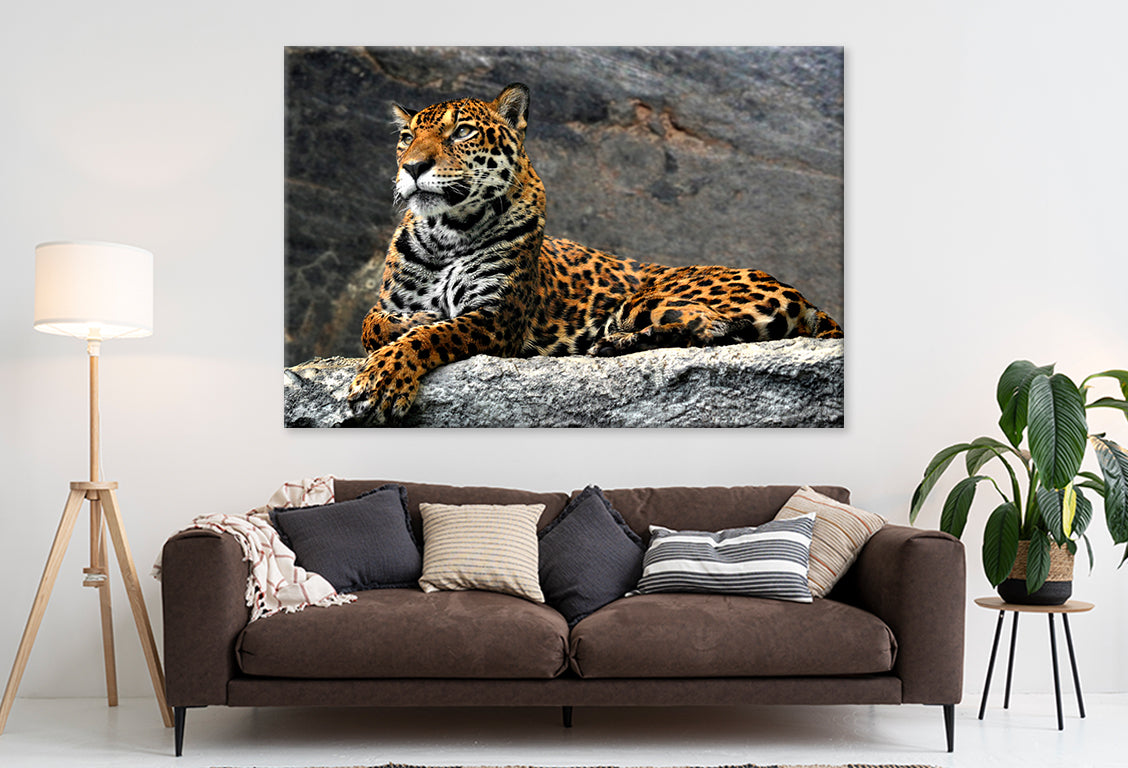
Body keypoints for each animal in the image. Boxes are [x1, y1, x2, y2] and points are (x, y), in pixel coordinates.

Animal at [347, 82, 842, 424]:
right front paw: (406, 324)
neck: (445, 233)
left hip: (646, 299)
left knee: (710, 328)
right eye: (406, 137)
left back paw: (613, 344)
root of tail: (803, 296)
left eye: (463, 132)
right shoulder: (389, 301)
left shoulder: (495, 319)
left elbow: (429, 336)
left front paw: (383, 379)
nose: (412, 167)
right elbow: (372, 323)